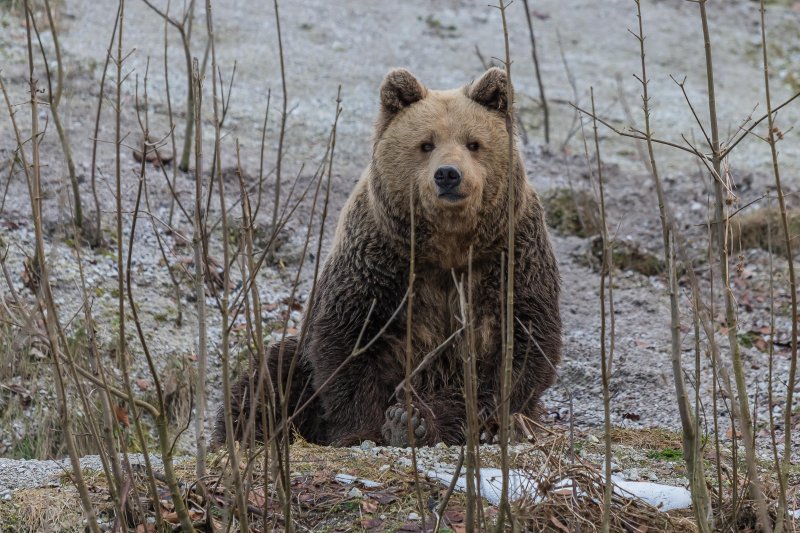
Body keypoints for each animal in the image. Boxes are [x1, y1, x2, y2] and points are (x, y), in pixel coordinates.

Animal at [214, 67, 564, 448]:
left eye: (474, 143)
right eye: (426, 144)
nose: (448, 174)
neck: (449, 244)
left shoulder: (509, 256)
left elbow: (518, 345)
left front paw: (417, 419)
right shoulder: (379, 258)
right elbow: (350, 340)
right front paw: (368, 429)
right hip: (299, 364)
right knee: (269, 379)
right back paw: (246, 433)